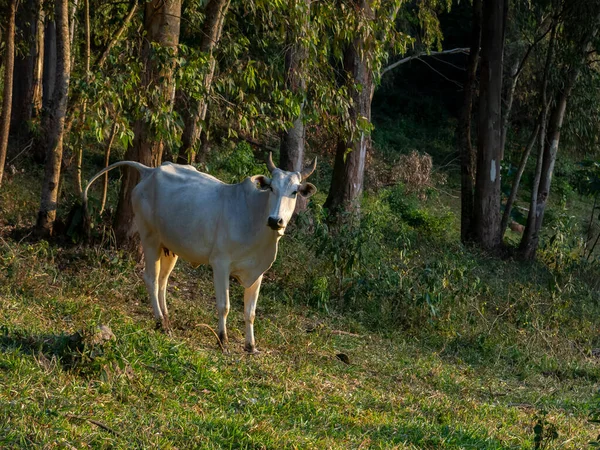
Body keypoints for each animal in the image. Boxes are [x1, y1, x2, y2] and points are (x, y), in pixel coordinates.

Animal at [85, 153, 318, 354]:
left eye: (294, 192)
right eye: (270, 188)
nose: (275, 220)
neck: (255, 218)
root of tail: (150, 171)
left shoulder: (257, 272)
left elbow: (250, 312)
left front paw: (251, 346)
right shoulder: (220, 264)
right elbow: (224, 306)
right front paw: (223, 340)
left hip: (170, 248)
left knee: (163, 281)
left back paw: (167, 319)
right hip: (149, 238)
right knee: (151, 278)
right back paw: (160, 322)